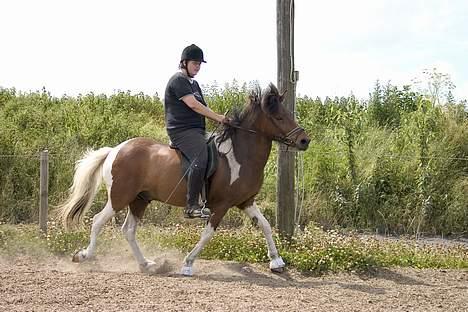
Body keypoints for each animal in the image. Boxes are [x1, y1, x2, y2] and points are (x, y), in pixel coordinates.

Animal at [58, 83, 310, 276]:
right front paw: (188, 264)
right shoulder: (221, 205)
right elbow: (208, 234)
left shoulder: (245, 202)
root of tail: (115, 150)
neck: (240, 155)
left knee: (128, 231)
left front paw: (277, 262)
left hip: (140, 200)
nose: (304, 141)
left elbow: (265, 225)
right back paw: (84, 256)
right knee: (98, 221)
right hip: (120, 197)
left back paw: (147, 264)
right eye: (279, 116)